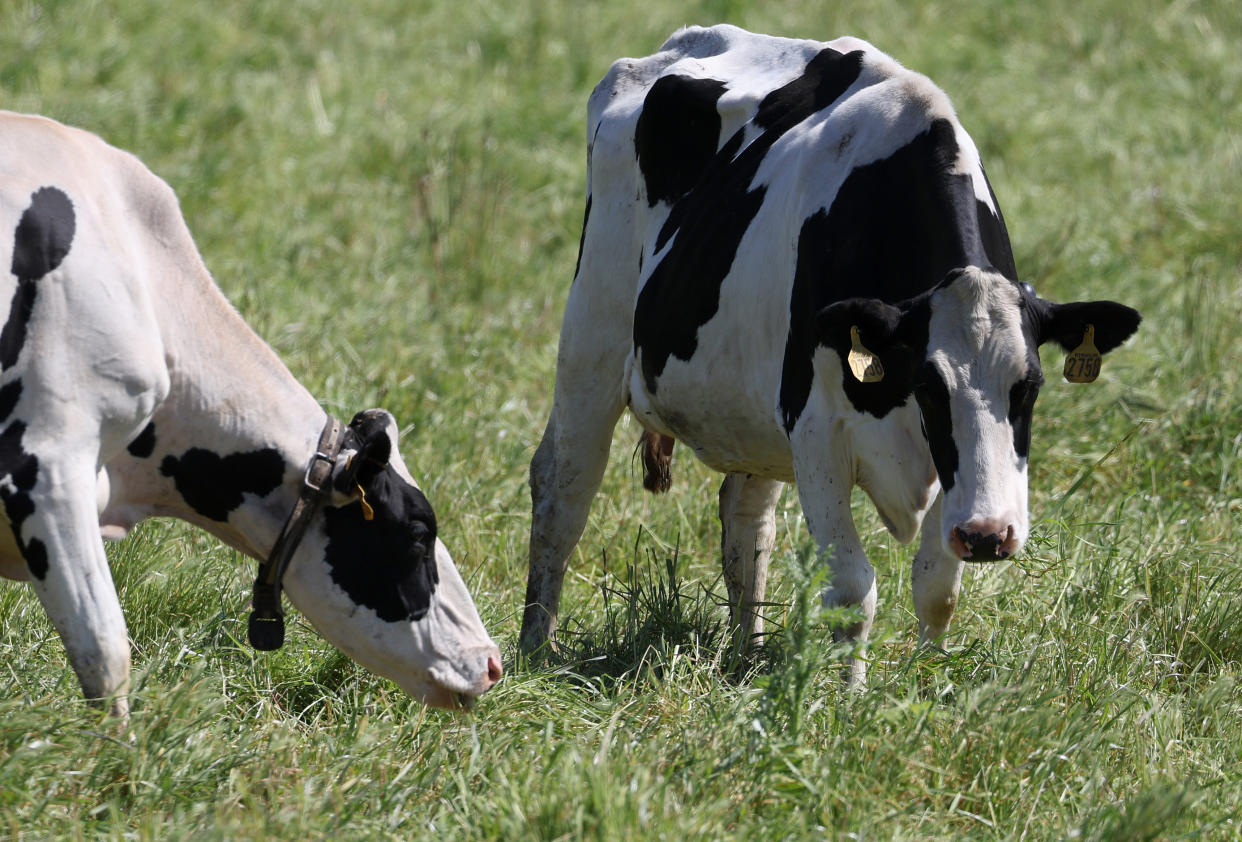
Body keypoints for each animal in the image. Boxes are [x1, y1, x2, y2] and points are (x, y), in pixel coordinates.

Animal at [519, 24, 1137, 685]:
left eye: (1031, 386)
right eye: (928, 387)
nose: (989, 534)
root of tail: (687, 40)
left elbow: (937, 585)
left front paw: (925, 683)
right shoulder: (816, 429)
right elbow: (852, 589)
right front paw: (850, 695)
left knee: (746, 517)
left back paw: (748, 653)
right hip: (593, 331)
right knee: (563, 485)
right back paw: (535, 647)